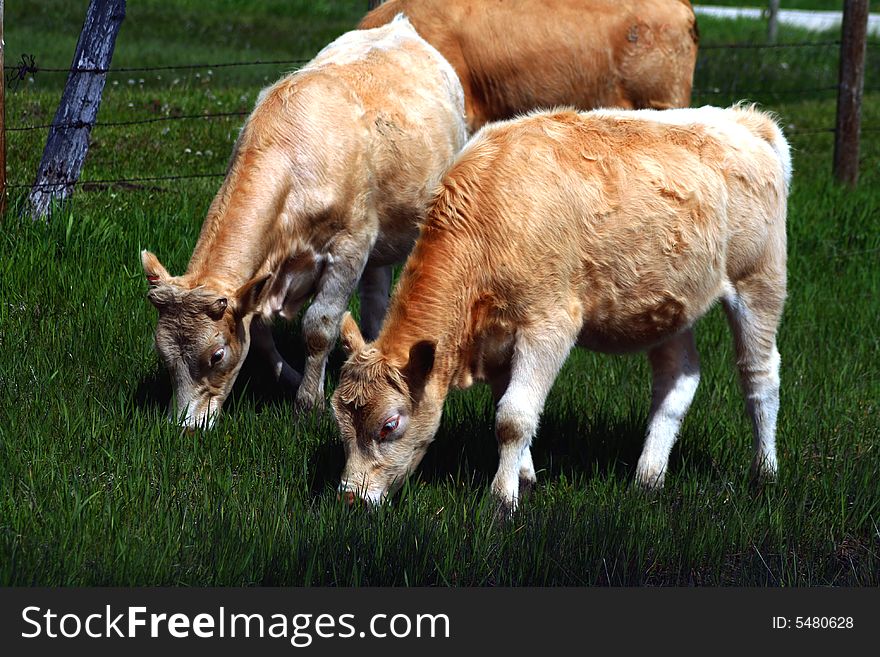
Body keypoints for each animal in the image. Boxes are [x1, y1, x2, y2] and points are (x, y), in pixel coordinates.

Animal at [139, 16, 468, 430]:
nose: (185, 427)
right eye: (163, 354)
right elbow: (260, 335)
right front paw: (293, 380)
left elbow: (319, 326)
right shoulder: (263, 280)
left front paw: (309, 403)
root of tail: (401, 26)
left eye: (216, 355)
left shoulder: (350, 246)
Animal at [330, 104, 792, 512]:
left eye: (389, 425)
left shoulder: (548, 324)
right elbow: (510, 407)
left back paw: (765, 473)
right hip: (671, 304)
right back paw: (649, 477)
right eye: (339, 422)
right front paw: (525, 479)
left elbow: (513, 417)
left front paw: (502, 501)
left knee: (760, 374)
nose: (351, 498)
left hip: (759, 281)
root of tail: (744, 120)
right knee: (678, 379)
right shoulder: (498, 339)